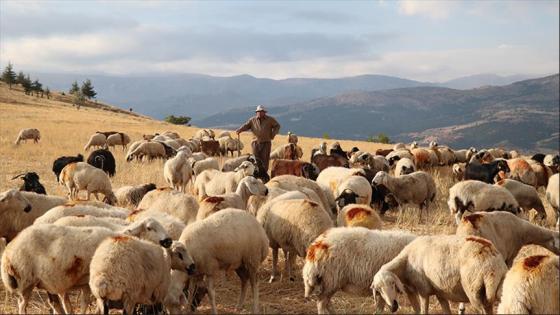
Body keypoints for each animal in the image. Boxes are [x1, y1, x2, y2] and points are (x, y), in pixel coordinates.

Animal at [1, 218, 172, 314]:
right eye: (149, 228)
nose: (168, 241)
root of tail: (7, 253)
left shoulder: (86, 283)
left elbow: (85, 304)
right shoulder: (92, 282)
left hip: (41, 282)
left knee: (55, 305)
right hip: (25, 282)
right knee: (22, 305)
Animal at [372, 236, 508, 314]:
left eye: (392, 283)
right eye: (378, 290)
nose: (393, 307)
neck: (406, 262)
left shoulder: (423, 290)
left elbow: (423, 312)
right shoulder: (439, 292)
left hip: (474, 291)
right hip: (497, 287)